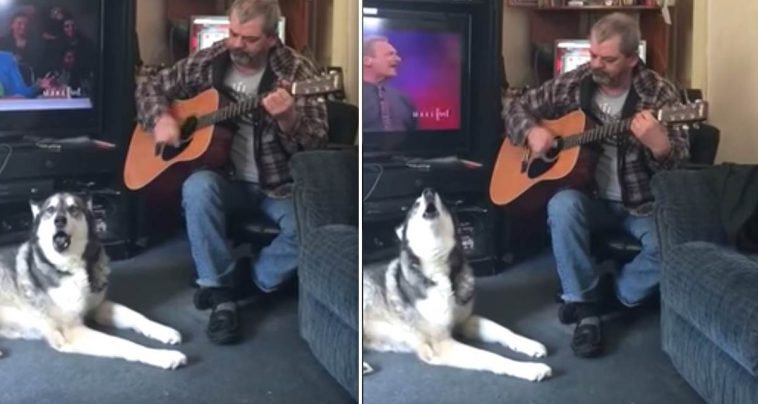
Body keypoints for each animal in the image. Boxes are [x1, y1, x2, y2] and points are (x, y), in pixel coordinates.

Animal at [0, 193, 189, 370]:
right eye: (50, 210)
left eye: (73, 208)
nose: (59, 220)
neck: (71, 268)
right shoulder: (72, 331)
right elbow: (122, 343)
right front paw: (164, 356)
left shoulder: (98, 306)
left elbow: (137, 316)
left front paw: (163, 330)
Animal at [362, 189, 552, 382]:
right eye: (416, 204)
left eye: (443, 200)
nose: (428, 191)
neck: (439, 269)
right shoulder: (441, 344)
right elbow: (490, 356)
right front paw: (529, 368)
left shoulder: (465, 320)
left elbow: (502, 330)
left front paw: (528, 343)